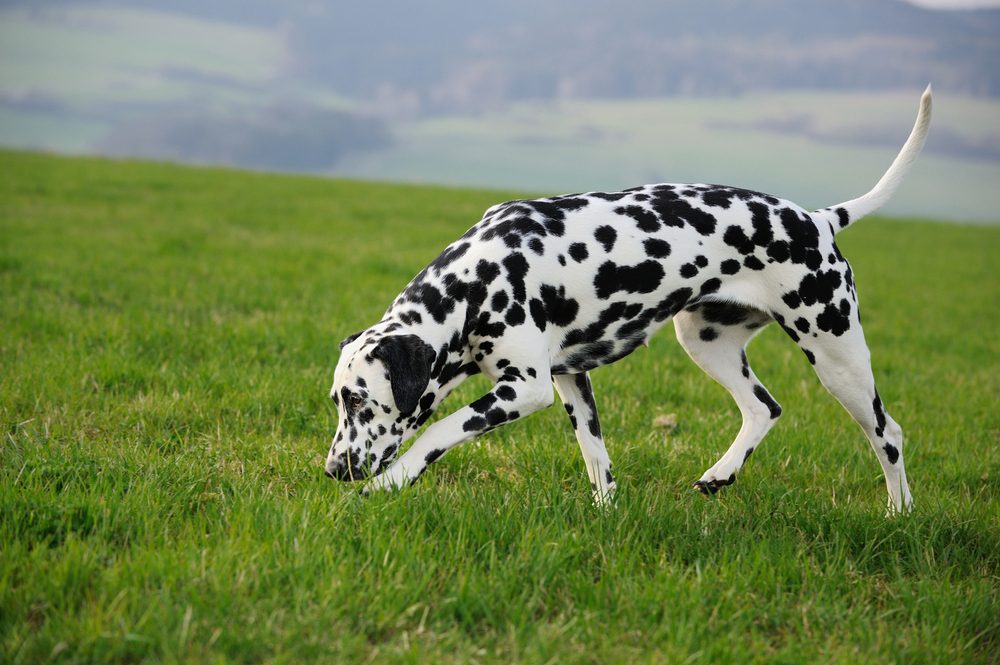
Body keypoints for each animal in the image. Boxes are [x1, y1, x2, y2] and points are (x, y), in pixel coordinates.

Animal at [328, 85, 928, 512]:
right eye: (337, 399)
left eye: (359, 400)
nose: (334, 469)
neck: (478, 281)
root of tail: (818, 219)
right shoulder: (571, 379)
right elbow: (596, 457)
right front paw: (605, 513)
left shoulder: (526, 389)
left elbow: (440, 430)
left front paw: (391, 481)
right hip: (705, 341)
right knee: (764, 407)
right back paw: (720, 474)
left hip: (838, 357)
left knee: (889, 434)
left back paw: (899, 513)